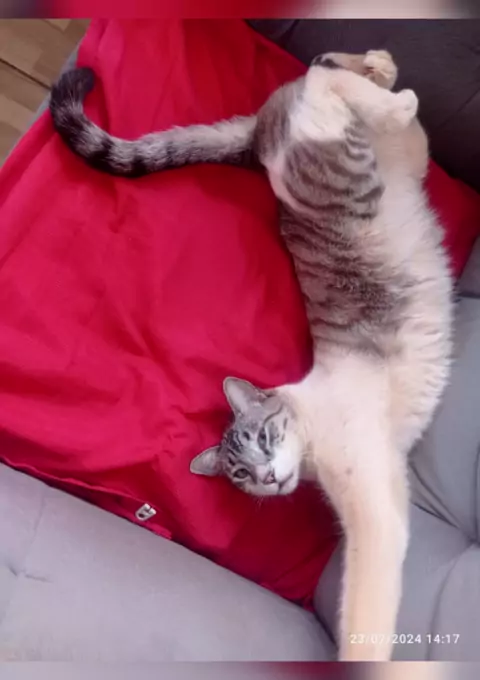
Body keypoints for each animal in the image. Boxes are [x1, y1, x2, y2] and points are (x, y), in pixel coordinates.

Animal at [50, 51, 453, 662]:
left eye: (263, 438)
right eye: (240, 474)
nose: (267, 478)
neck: (309, 457)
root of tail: (257, 138)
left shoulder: (376, 513)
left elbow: (364, 615)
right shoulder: (384, 493)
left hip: (329, 149)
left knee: (326, 81)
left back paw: (383, 84)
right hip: (403, 157)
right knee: (357, 93)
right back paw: (378, 68)